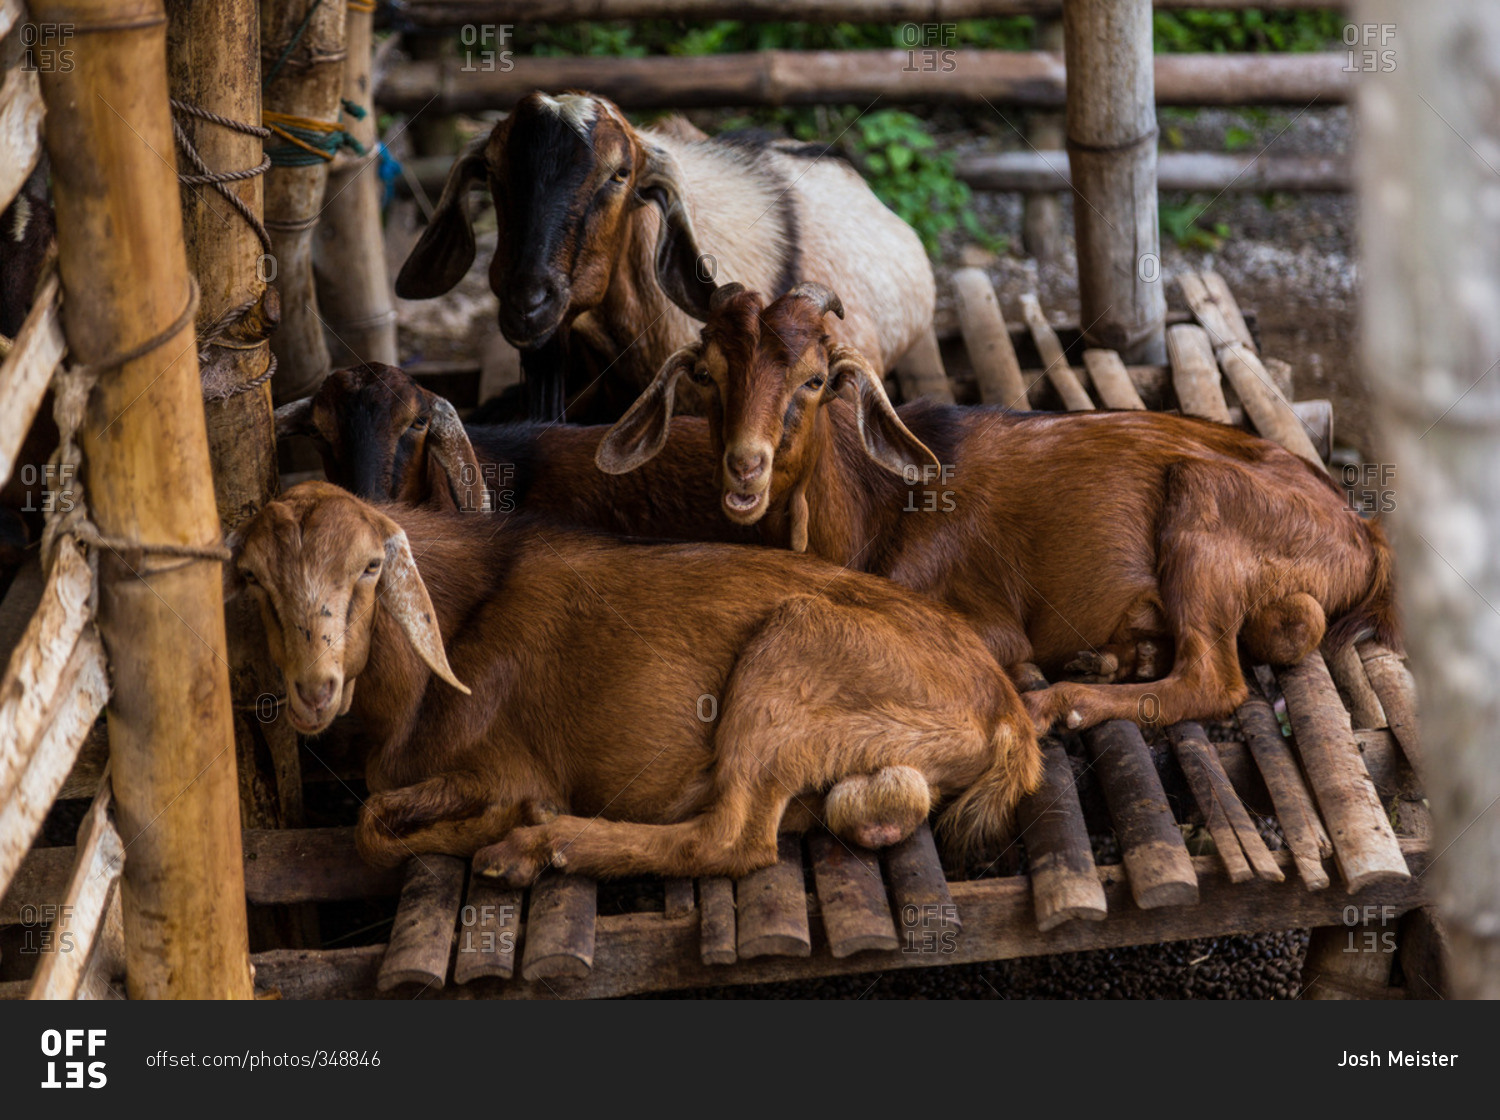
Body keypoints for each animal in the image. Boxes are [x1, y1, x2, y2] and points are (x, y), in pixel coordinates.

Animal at [230, 481, 1041, 882]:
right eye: (254, 579)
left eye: (370, 566)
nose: (313, 689)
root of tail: (1006, 713)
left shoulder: (502, 764)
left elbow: (371, 825)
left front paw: (507, 823)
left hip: (789, 661)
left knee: (731, 839)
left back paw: (531, 849)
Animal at [597, 283, 1401, 735]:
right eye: (707, 374)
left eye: (816, 379)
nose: (746, 468)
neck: (876, 513)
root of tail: (1363, 534)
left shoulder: (981, 615)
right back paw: (1117, 654)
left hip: (1202, 507)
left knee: (1215, 678)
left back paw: (1063, 701)